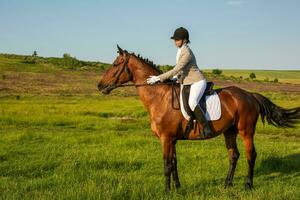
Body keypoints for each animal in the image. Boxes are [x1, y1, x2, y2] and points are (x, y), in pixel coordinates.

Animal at [97, 45, 298, 192]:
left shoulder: (166, 139)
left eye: (115, 65)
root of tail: (250, 95)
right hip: (230, 132)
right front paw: (178, 188)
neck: (159, 97)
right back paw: (227, 184)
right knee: (233, 155)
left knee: (251, 154)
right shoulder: (173, 140)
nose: (100, 86)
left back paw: (248, 185)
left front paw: (166, 191)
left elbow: (166, 165)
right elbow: (174, 163)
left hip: (246, 131)